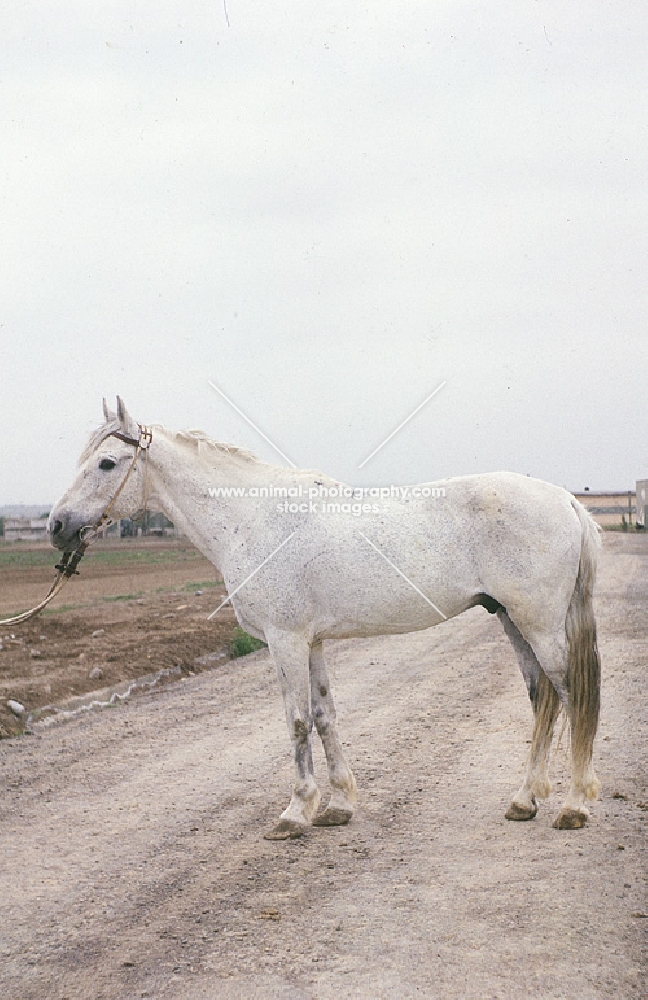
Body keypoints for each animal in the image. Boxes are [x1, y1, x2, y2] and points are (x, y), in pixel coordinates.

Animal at [49, 398, 604, 836]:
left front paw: (295, 813)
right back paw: (524, 800)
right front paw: (338, 806)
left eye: (107, 463)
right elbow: (324, 716)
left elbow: (296, 721)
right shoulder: (311, 642)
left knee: (573, 696)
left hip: (540, 625)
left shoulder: (286, 640)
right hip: (512, 620)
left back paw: (574, 806)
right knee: (543, 699)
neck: (254, 521)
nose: (57, 526)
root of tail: (566, 500)